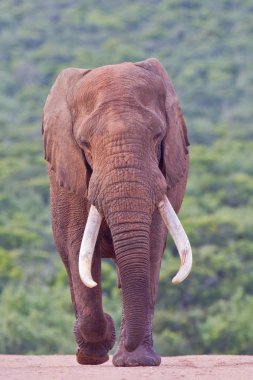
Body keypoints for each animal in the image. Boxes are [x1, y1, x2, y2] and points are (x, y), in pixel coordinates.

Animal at [42, 58, 192, 366]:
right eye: (84, 144)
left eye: (158, 136)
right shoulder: (72, 177)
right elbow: (79, 249)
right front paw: (94, 353)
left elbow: (151, 246)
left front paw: (136, 362)